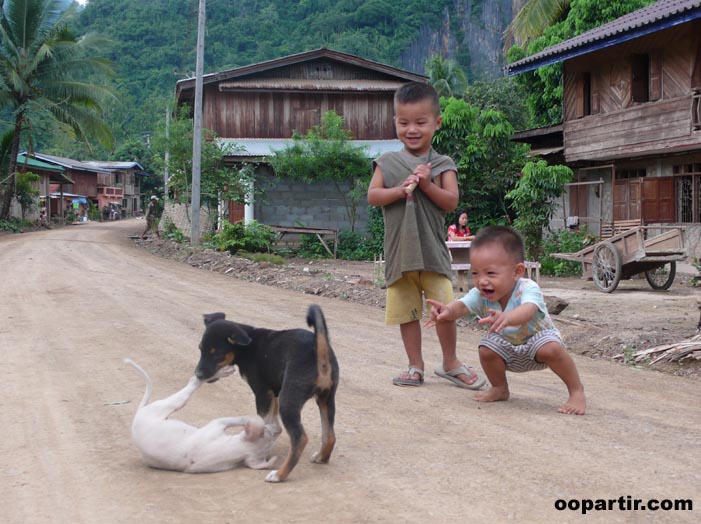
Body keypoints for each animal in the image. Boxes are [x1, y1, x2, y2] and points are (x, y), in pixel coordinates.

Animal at [194, 304, 340, 482]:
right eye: (201, 349)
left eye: (216, 354)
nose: (198, 375)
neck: (247, 347)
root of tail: (319, 351)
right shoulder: (272, 393)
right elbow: (272, 421)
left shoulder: (262, 392)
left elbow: (264, 421)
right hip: (326, 399)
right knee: (330, 436)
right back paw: (321, 457)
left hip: (288, 400)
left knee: (300, 439)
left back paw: (279, 474)